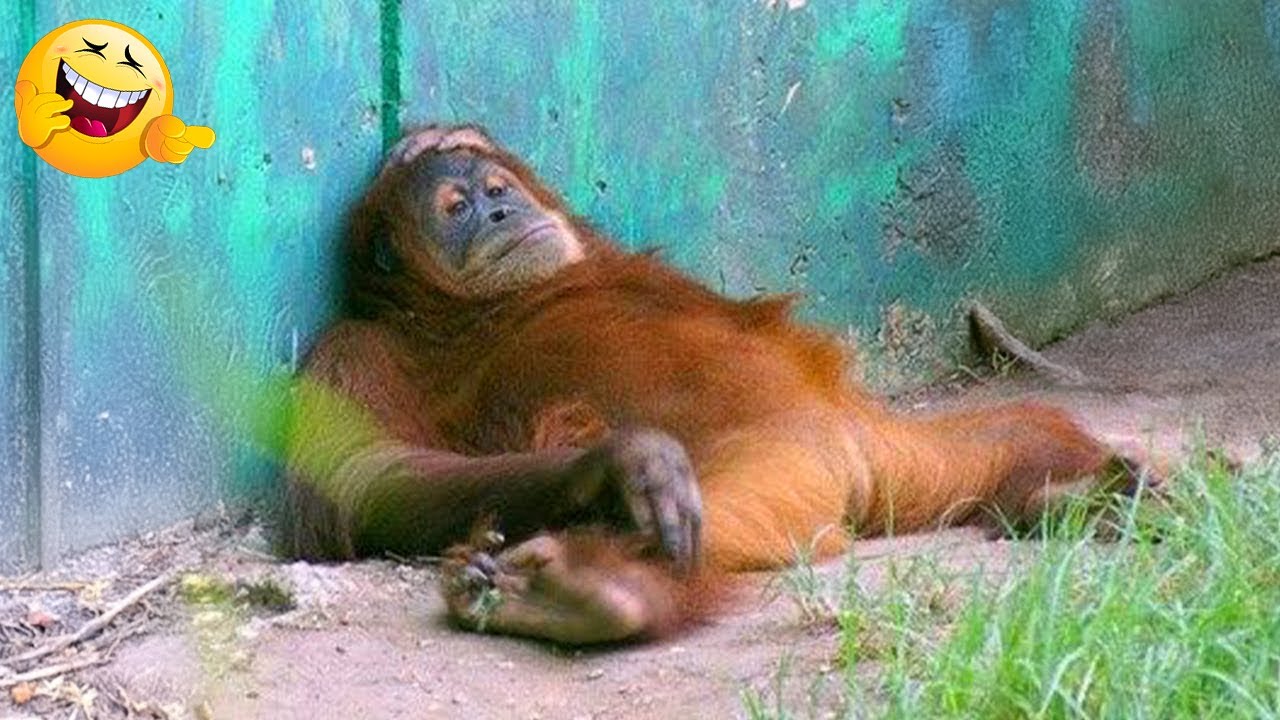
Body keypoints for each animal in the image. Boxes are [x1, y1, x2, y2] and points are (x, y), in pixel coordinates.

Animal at [282, 124, 1148, 645]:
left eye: (498, 189)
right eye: (456, 207)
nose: (501, 213)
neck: (469, 311)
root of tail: (857, 472)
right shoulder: (352, 349)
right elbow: (366, 479)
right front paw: (622, 460)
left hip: (900, 456)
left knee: (1016, 430)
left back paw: (1081, 492)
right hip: (788, 464)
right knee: (717, 509)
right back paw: (599, 590)